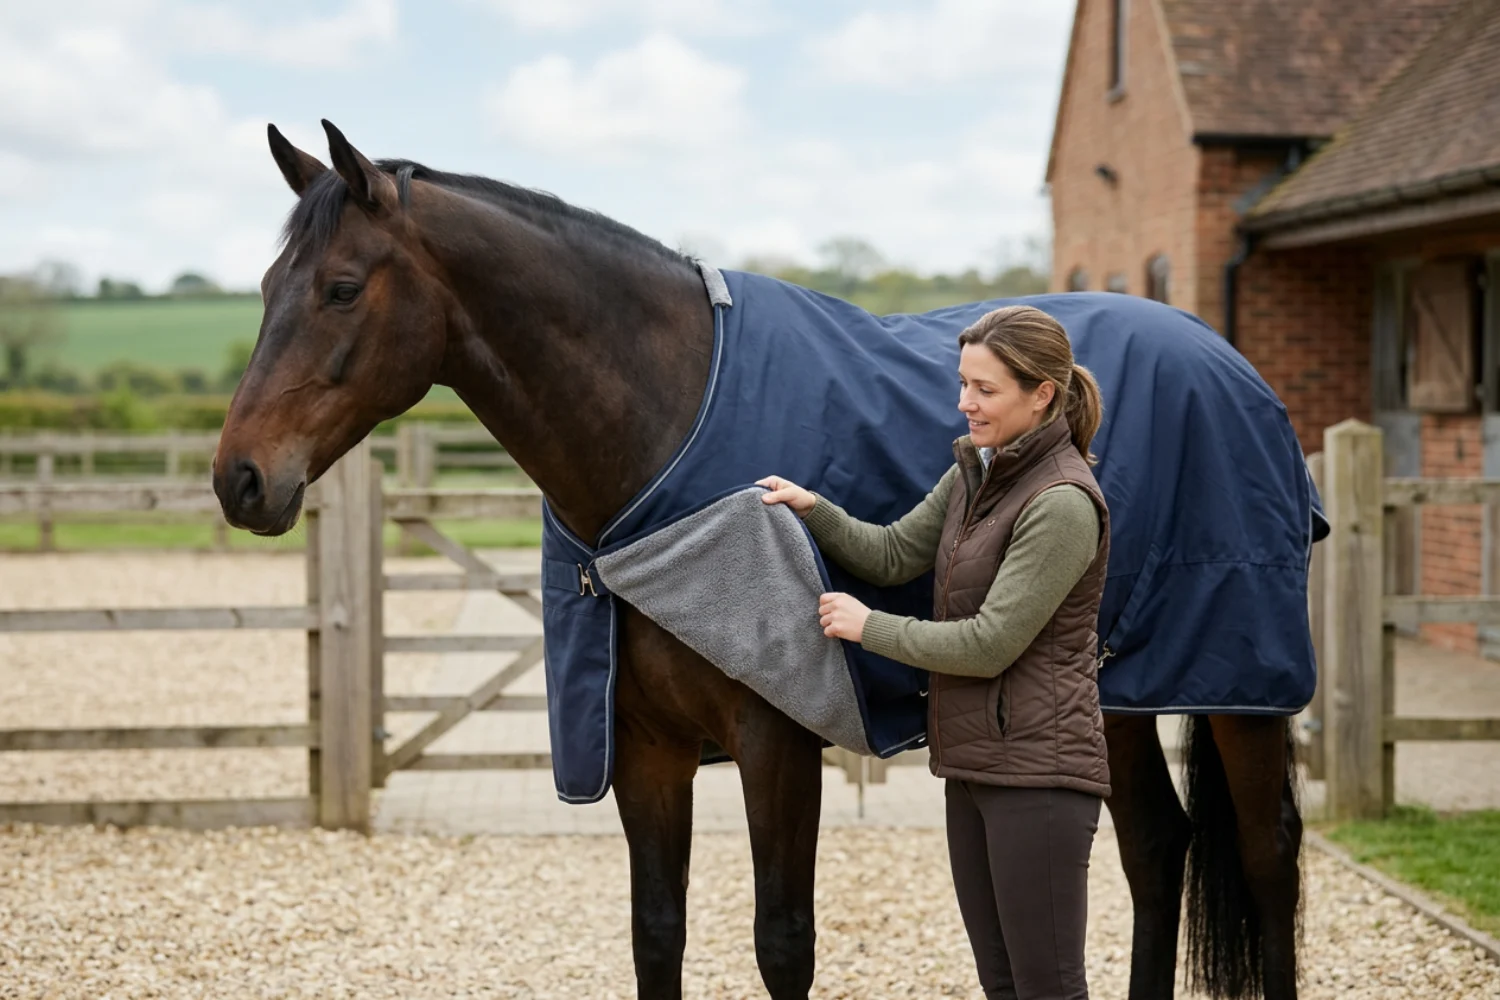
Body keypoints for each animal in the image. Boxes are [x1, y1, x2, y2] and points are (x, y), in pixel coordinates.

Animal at [213, 120, 1306, 1000]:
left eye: (341, 288)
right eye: (263, 288)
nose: (240, 479)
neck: (666, 445)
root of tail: (1232, 364)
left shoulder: (779, 740)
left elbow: (783, 942)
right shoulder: (643, 749)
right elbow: (657, 933)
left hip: (1234, 690)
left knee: (1267, 859)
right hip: (1108, 688)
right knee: (1156, 848)